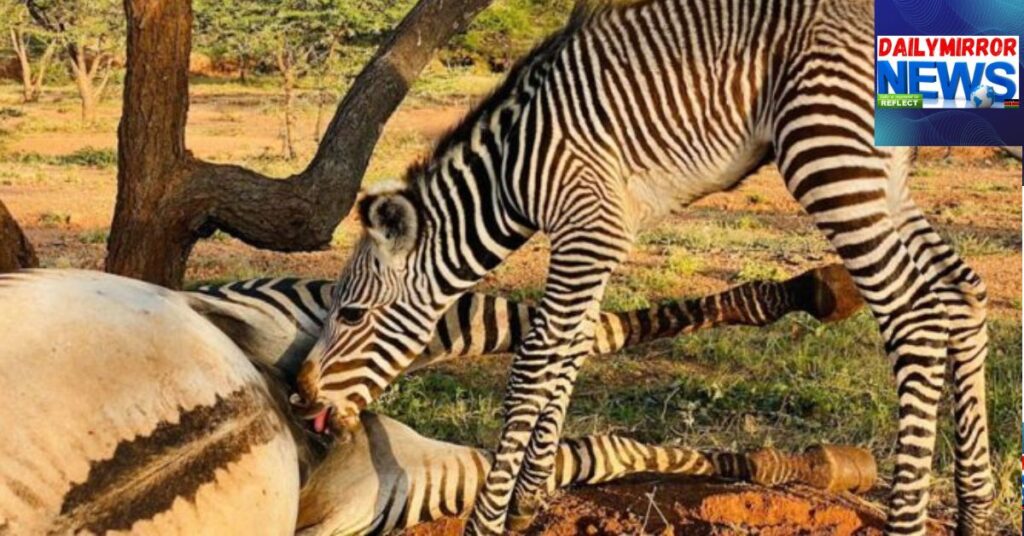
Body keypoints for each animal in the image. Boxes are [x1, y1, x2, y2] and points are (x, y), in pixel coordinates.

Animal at [292, 1, 993, 534]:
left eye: (350, 312)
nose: (300, 396)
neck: (510, 172)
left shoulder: (586, 226)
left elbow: (535, 363)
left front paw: (490, 518)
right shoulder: (600, 237)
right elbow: (570, 349)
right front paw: (531, 499)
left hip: (829, 156)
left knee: (915, 317)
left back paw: (907, 519)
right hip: (883, 179)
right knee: (962, 294)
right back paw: (975, 510)